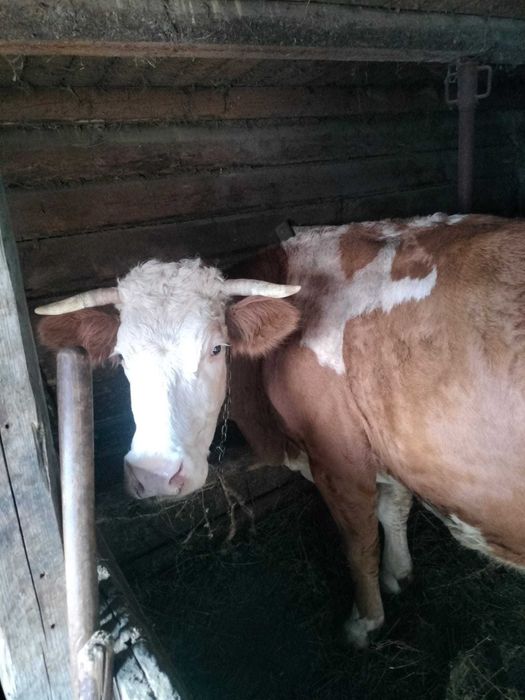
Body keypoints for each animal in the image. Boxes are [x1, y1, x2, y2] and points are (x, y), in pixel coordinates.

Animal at [36, 213, 525, 648]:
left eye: (217, 348)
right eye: (123, 357)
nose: (155, 474)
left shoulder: (338, 458)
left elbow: (359, 542)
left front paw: (364, 622)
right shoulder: (389, 444)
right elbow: (395, 511)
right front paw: (399, 574)